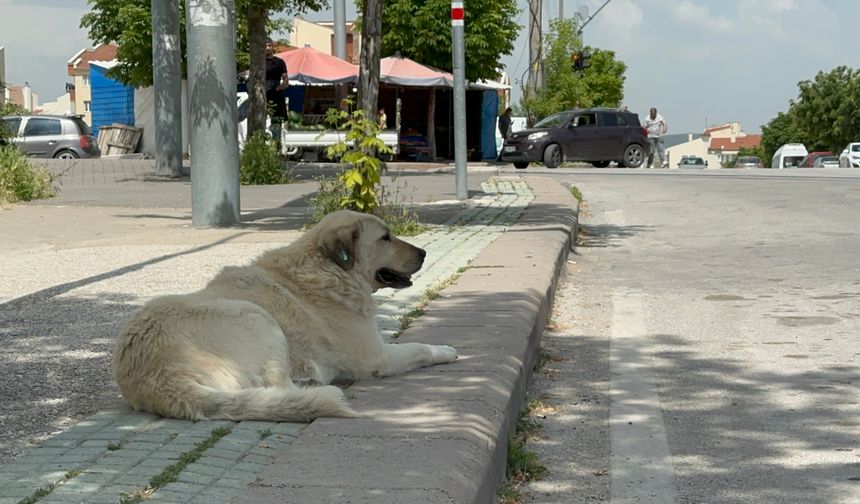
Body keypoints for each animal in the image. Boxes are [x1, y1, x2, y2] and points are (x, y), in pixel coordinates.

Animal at [112, 211, 456, 424]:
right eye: (385, 237)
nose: (424, 253)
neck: (330, 271)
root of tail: (161, 379)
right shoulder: (377, 358)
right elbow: (420, 348)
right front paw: (446, 350)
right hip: (257, 317)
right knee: (278, 385)